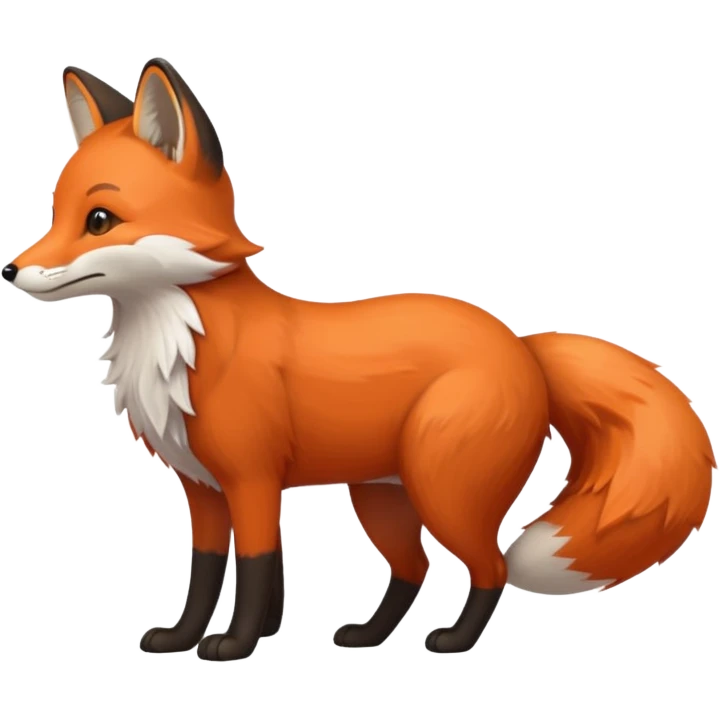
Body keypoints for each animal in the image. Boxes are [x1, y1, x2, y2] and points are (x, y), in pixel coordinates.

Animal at [2, 57, 716, 660]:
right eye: (55, 213)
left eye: (99, 219)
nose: (11, 270)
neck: (179, 343)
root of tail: (520, 344)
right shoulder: (202, 489)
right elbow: (207, 573)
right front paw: (186, 638)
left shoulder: (252, 480)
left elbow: (257, 568)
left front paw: (233, 645)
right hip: (380, 498)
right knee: (413, 569)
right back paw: (369, 635)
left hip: (442, 491)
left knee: (493, 567)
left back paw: (453, 641)